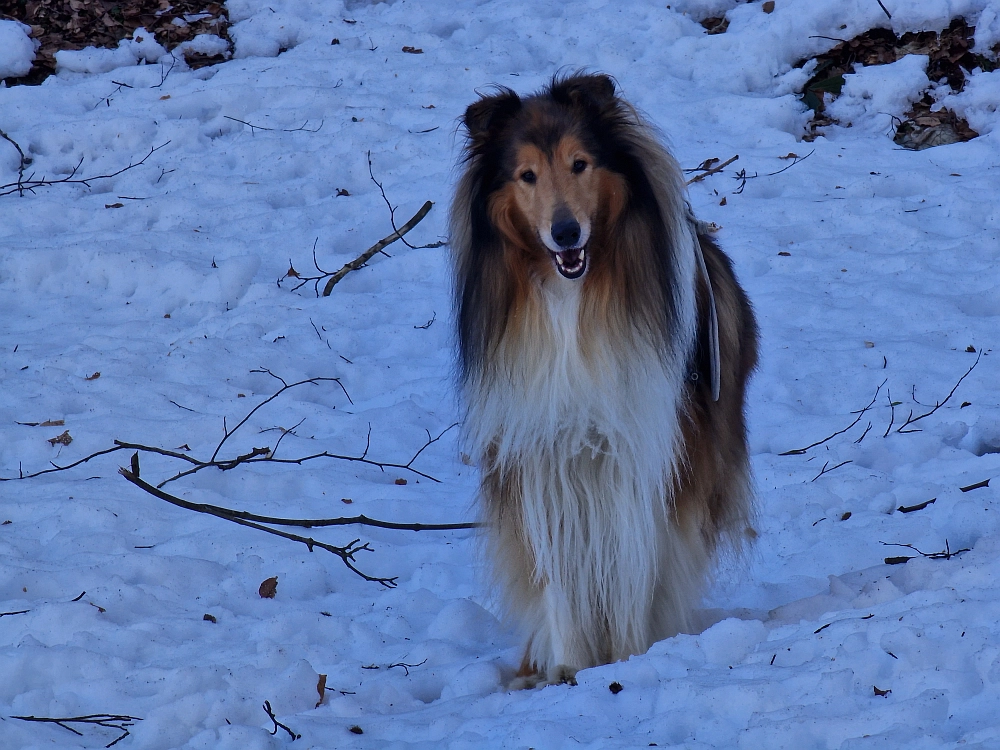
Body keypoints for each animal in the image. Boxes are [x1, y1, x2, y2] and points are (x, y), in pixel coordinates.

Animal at [454, 75, 756, 688]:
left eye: (580, 164)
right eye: (526, 175)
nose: (566, 232)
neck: (572, 301)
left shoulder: (642, 452)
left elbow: (635, 566)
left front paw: (631, 659)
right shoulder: (541, 455)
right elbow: (558, 577)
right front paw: (570, 668)